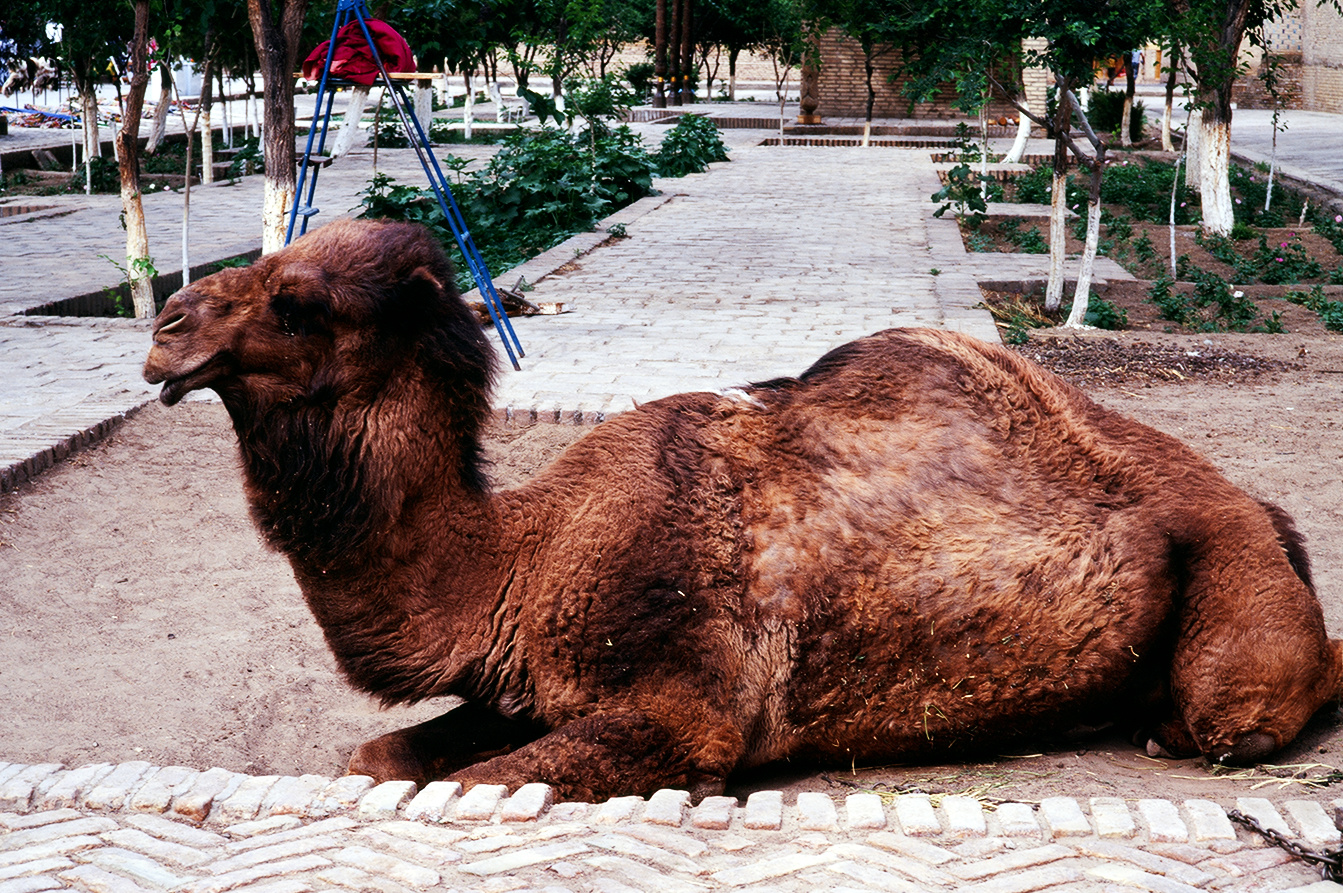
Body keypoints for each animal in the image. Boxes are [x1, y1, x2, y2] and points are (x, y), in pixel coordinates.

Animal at [144, 217, 1343, 800]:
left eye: (298, 301)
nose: (163, 323)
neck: (519, 556)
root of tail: (1262, 508)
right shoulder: (518, 687)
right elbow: (374, 761)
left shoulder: (686, 709)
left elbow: (479, 781)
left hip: (1231, 605)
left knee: (1237, 710)